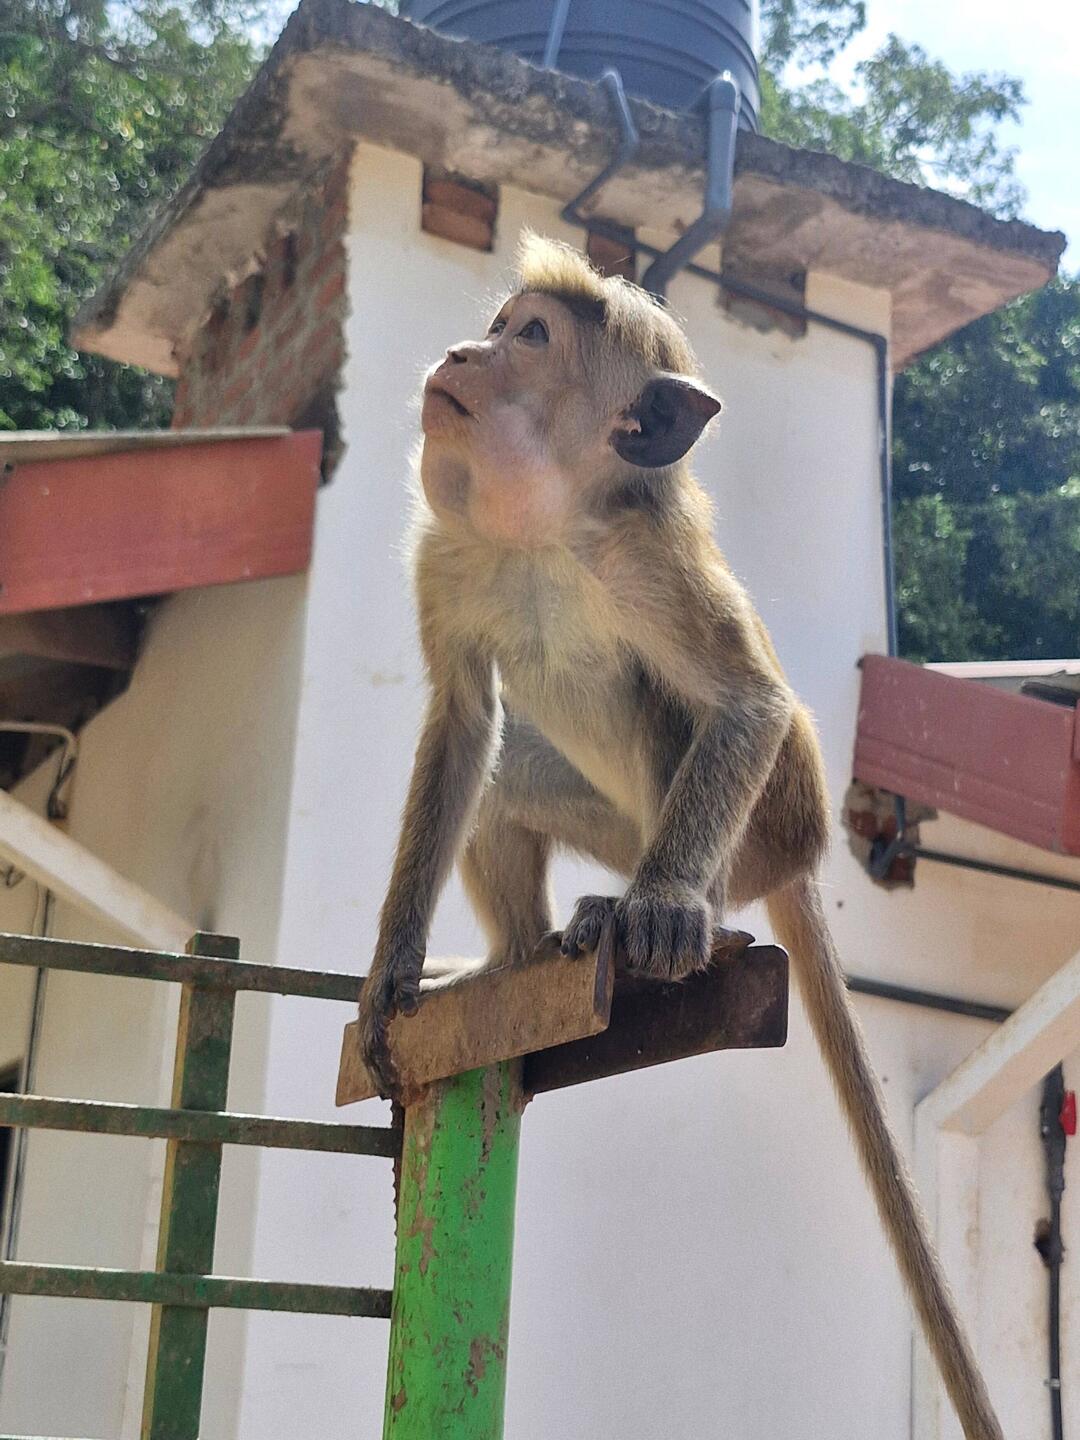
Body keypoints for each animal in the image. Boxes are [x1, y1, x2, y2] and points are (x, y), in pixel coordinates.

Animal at [357, 234, 1003, 1440]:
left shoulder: (642, 561)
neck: (544, 529)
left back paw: (674, 916)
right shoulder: (447, 557)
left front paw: (659, 912)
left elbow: (745, 702)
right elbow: (461, 724)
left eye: (530, 339)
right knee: (502, 778)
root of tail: (803, 855)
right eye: (500, 325)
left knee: (678, 713)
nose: (464, 351)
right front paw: (391, 975)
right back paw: (516, 958)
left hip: (761, 823)